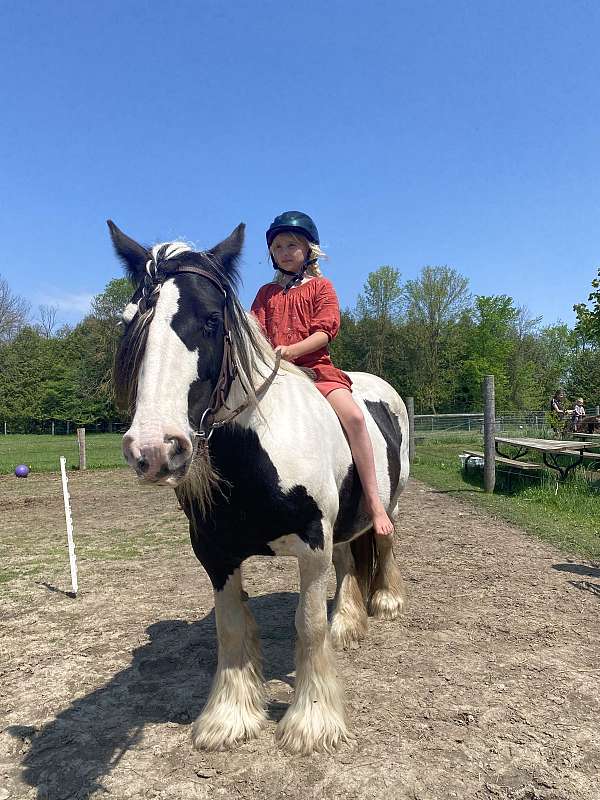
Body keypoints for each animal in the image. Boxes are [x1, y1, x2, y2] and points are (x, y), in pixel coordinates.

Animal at [108, 220, 410, 756]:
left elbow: (307, 625)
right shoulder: (215, 553)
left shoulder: (311, 545)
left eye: (211, 320)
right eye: (129, 322)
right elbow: (230, 627)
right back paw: (348, 622)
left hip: (389, 503)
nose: (155, 449)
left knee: (384, 542)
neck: (259, 449)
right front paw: (228, 718)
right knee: (349, 561)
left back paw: (385, 601)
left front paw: (312, 721)